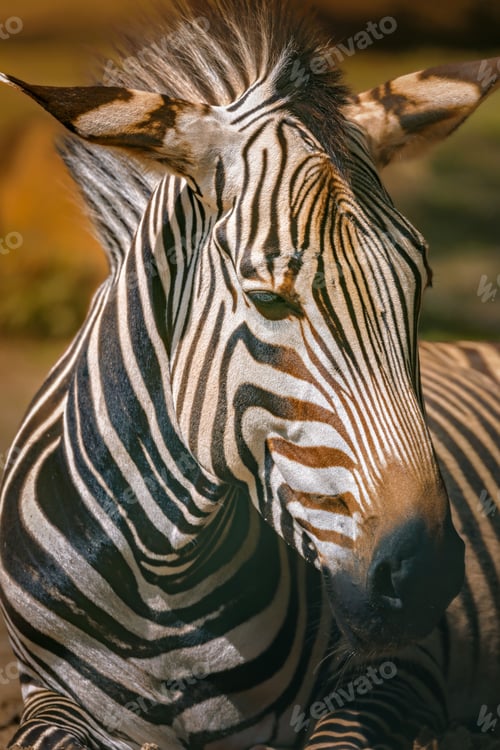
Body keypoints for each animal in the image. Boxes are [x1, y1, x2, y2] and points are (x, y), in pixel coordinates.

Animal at [0, 0, 498, 748]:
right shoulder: (43, 692)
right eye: (267, 299)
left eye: (421, 286)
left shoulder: (400, 678)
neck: (165, 576)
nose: (427, 581)